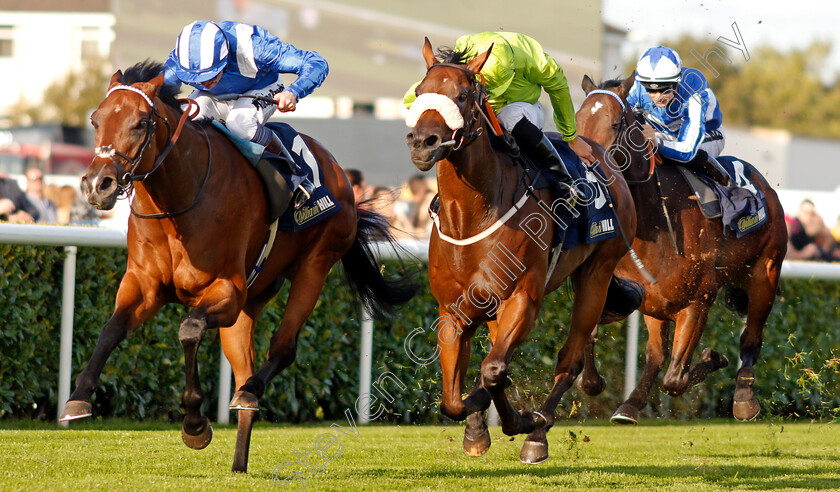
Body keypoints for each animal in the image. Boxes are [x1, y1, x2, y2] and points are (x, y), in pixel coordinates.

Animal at [56, 61, 416, 472]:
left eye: (141, 122)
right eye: (95, 119)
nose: (97, 185)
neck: (179, 200)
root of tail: (340, 174)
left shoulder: (226, 289)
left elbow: (189, 330)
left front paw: (195, 424)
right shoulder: (145, 285)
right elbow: (111, 329)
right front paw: (78, 399)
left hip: (315, 264)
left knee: (283, 348)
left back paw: (249, 391)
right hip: (251, 303)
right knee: (246, 368)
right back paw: (239, 459)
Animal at [406, 39, 636, 466]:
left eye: (462, 96)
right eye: (419, 91)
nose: (422, 142)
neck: (471, 215)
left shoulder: (523, 297)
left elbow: (494, 370)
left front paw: (523, 420)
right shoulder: (453, 309)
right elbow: (452, 399)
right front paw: (476, 425)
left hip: (597, 273)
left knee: (570, 359)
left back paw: (539, 432)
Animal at [576, 76, 788, 422]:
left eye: (616, 122)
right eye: (577, 119)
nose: (585, 171)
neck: (652, 222)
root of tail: (766, 189)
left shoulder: (698, 300)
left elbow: (676, 379)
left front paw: (713, 357)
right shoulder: (634, 291)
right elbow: (595, 348)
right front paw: (594, 381)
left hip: (764, 275)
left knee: (751, 337)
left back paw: (744, 398)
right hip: (658, 304)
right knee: (656, 354)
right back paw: (630, 405)